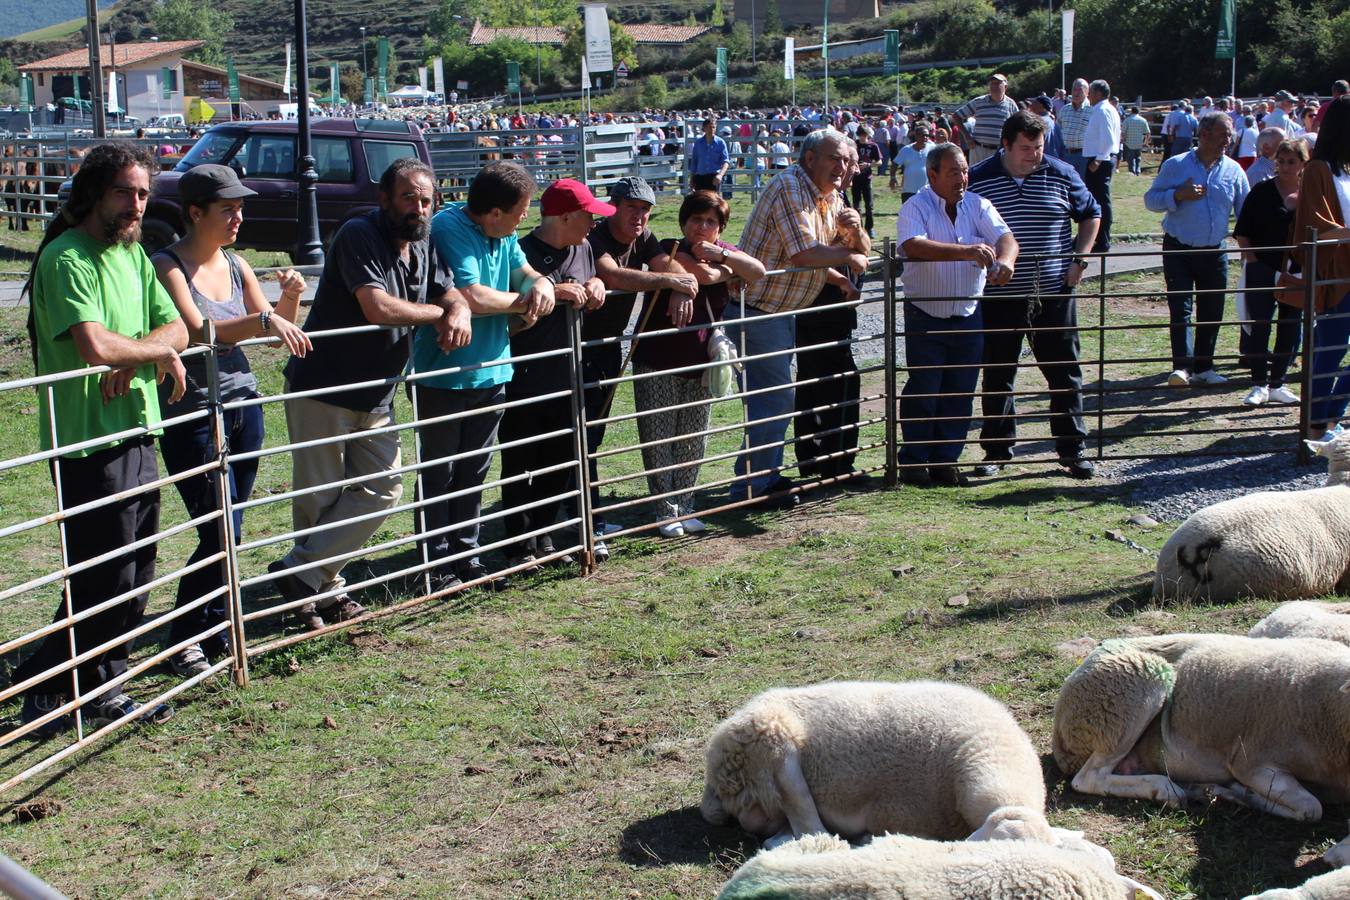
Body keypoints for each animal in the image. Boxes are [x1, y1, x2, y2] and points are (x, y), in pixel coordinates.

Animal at [1053, 634, 1350, 863]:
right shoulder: (1251, 760)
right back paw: (1166, 789)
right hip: (1129, 692)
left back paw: (1201, 790)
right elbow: (1311, 808)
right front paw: (1245, 794)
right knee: (1088, 778)